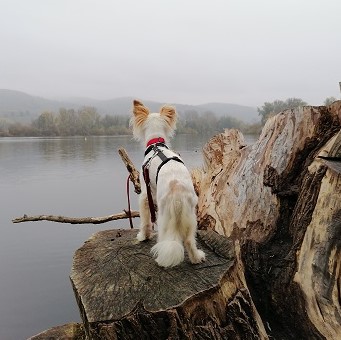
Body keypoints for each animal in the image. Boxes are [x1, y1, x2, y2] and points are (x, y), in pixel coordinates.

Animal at [130, 99, 205, 266]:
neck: (156, 145)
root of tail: (178, 193)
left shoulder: (145, 195)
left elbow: (145, 221)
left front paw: (143, 236)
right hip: (191, 218)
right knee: (189, 241)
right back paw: (196, 258)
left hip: (164, 217)